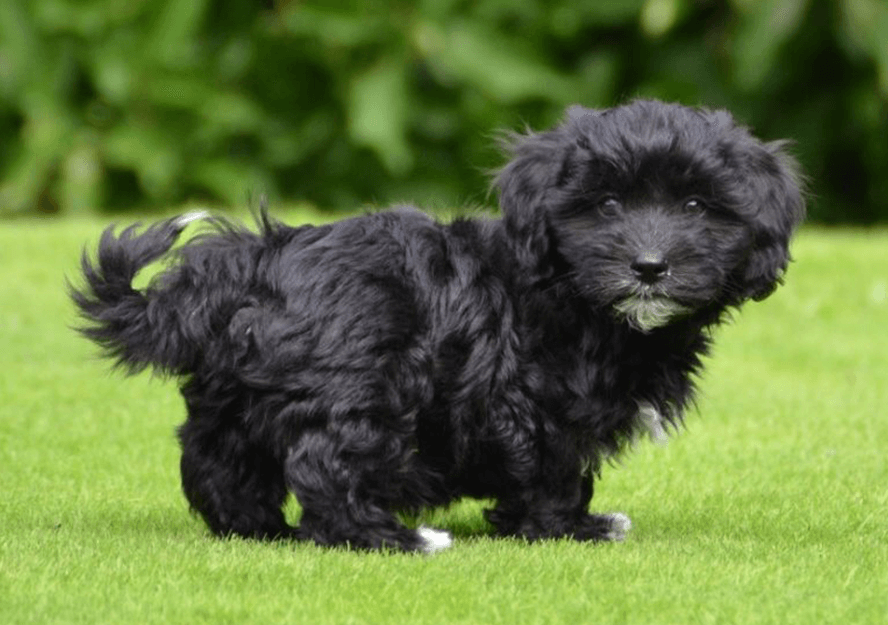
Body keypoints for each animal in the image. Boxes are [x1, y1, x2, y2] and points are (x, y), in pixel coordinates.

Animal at [69, 98, 804, 552]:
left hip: (233, 392)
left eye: (695, 206)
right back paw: (392, 539)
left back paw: (259, 529)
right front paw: (571, 526)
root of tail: (250, 262)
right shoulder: (536, 402)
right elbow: (556, 467)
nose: (649, 266)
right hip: (361, 381)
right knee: (325, 461)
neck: (569, 291)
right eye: (608, 204)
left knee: (218, 458)